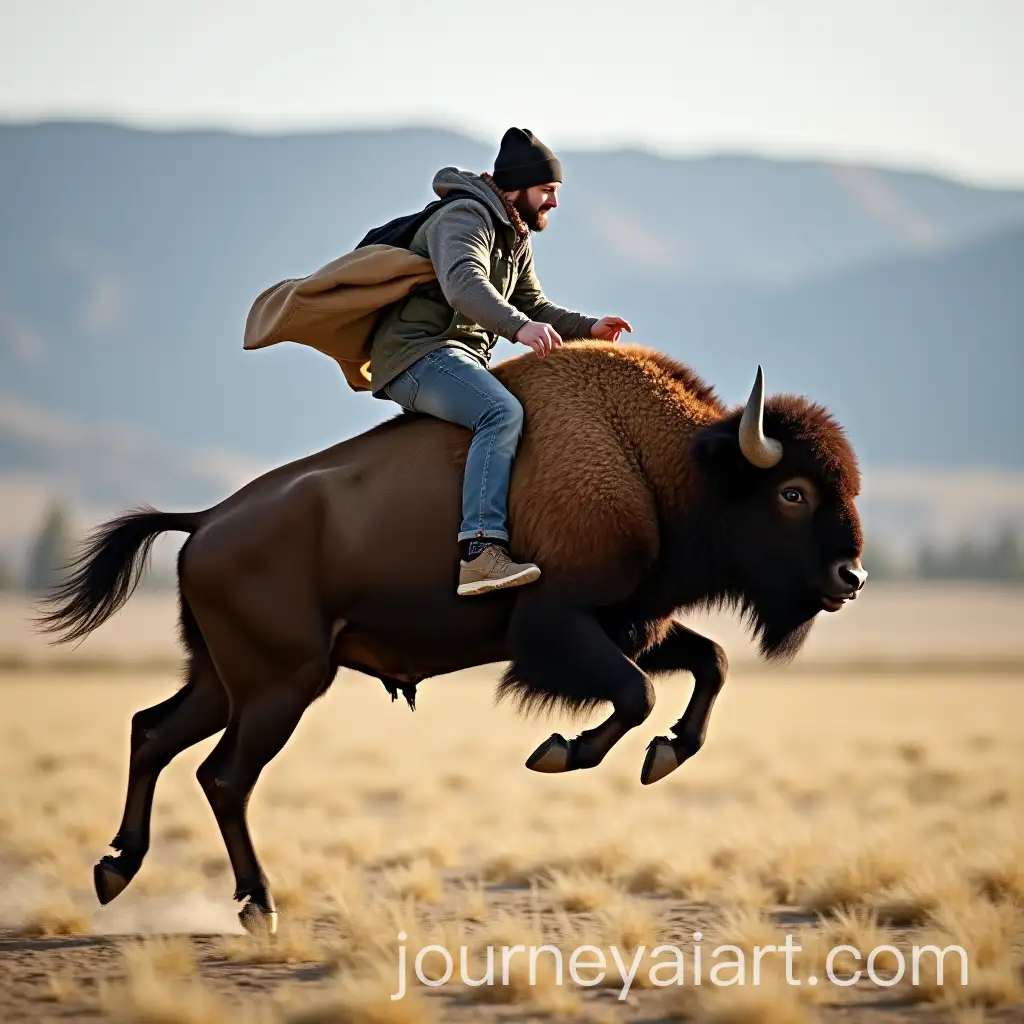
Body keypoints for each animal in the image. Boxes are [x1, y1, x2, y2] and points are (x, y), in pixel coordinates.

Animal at [39, 342, 866, 934]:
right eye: (793, 492)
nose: (851, 575)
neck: (655, 463)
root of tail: (207, 520)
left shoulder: (637, 624)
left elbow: (708, 665)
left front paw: (661, 757)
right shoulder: (559, 629)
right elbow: (635, 694)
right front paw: (558, 753)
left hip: (221, 681)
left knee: (154, 733)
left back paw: (116, 870)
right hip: (283, 687)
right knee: (224, 776)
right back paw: (257, 905)